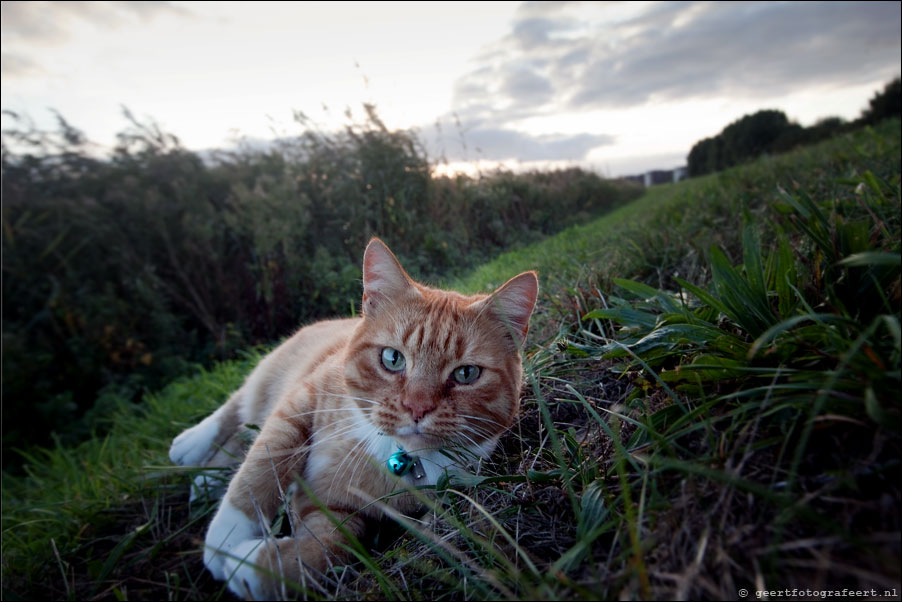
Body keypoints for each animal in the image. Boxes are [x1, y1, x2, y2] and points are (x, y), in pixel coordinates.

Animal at [170, 237, 536, 596]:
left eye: (466, 374)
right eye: (392, 359)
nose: (417, 407)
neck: (391, 452)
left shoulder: (340, 513)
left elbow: (321, 551)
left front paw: (248, 568)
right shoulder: (302, 399)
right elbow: (264, 464)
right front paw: (225, 539)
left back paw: (204, 483)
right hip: (270, 374)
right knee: (237, 408)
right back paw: (189, 445)